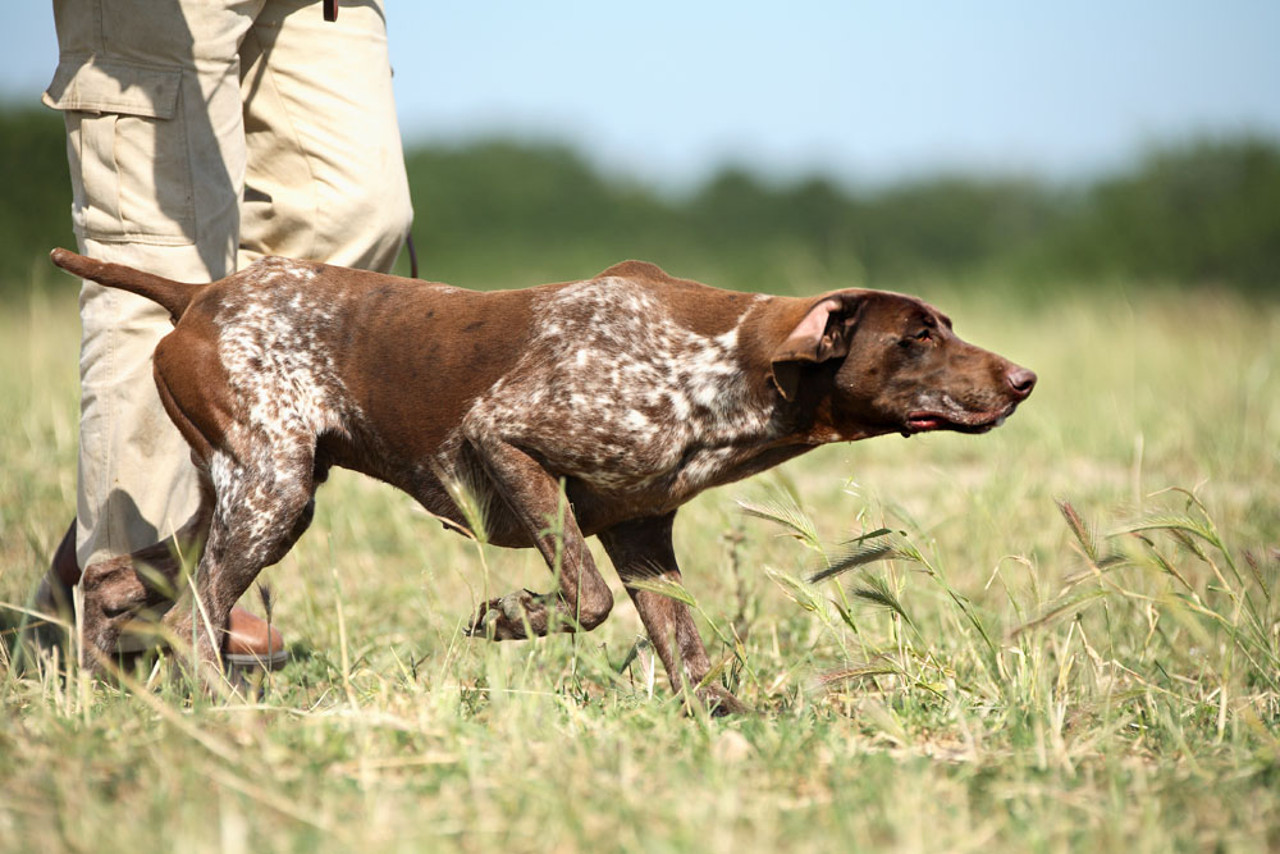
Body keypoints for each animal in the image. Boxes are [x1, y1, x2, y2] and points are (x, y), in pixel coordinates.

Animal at [49, 248, 1034, 717]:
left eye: (945, 325)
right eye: (916, 337)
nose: (1024, 379)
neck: (727, 367)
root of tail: (196, 296)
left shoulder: (643, 535)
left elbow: (687, 655)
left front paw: (726, 721)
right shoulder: (508, 439)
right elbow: (585, 600)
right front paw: (512, 619)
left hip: (250, 491)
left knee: (117, 577)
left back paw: (99, 689)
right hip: (274, 494)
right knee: (192, 620)